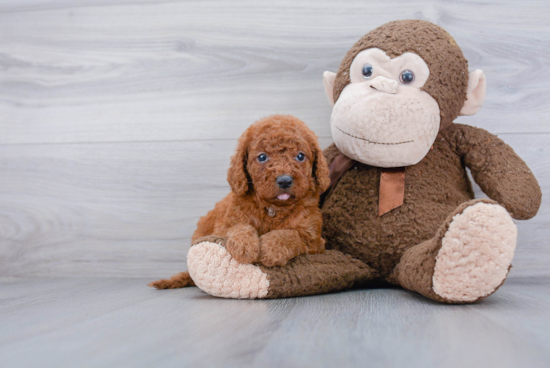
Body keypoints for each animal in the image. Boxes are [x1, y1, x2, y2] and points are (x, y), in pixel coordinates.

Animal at [150, 113, 332, 288]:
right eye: (262, 157)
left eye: (300, 156)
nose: (285, 180)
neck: (273, 208)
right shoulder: (225, 224)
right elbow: (239, 226)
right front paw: (244, 246)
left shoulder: (315, 240)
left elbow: (292, 234)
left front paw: (271, 248)